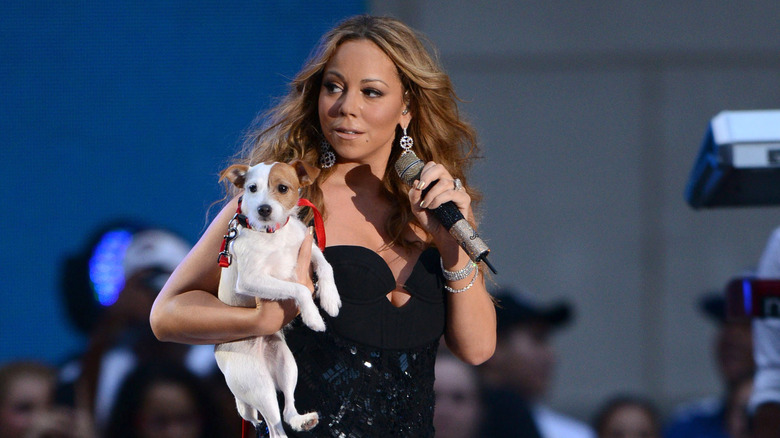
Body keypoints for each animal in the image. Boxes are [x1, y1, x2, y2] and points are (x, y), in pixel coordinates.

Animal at [215, 159, 340, 436]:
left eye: (282, 188)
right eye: (251, 188)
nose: (264, 209)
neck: (272, 235)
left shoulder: (308, 246)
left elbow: (326, 265)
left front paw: (330, 299)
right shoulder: (252, 280)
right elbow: (299, 289)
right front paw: (313, 317)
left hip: (287, 365)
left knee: (288, 409)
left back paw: (302, 420)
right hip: (259, 386)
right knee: (275, 426)